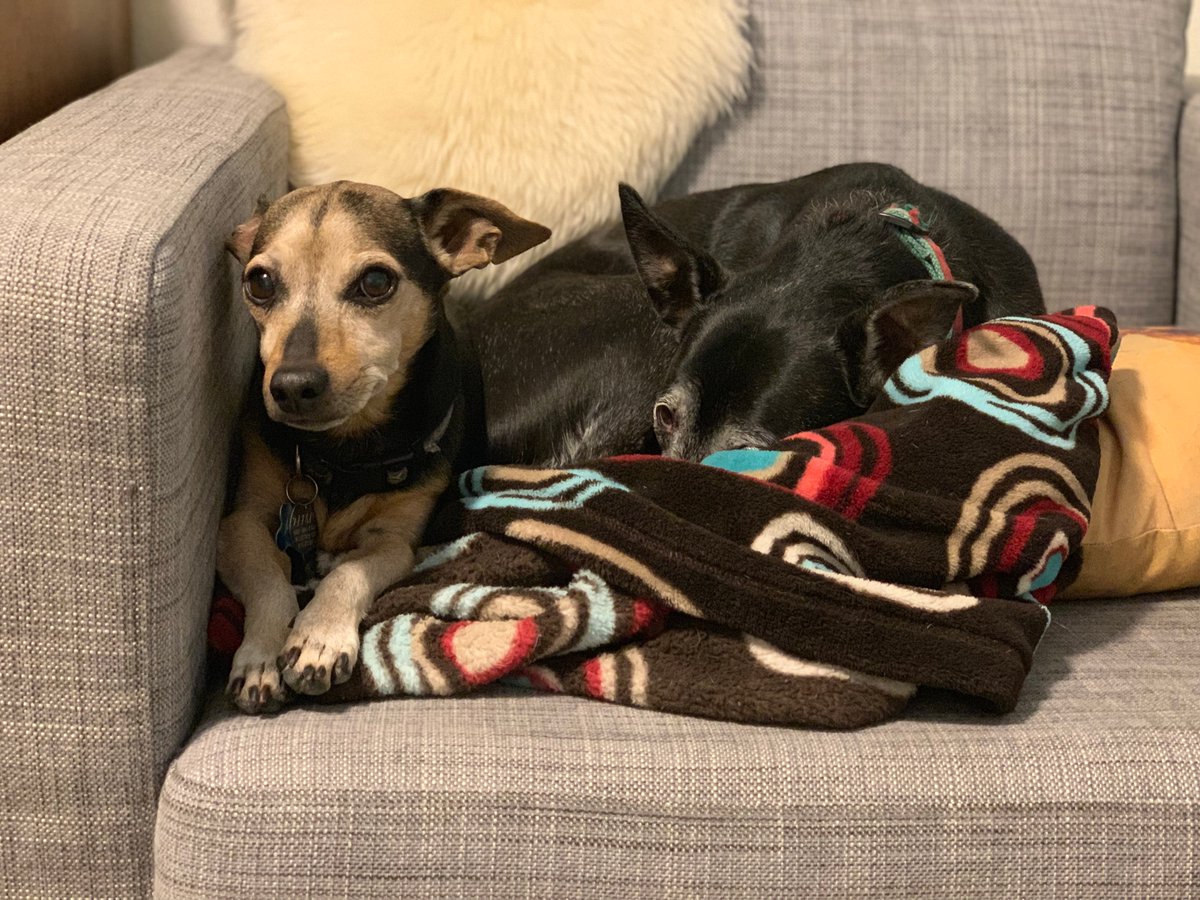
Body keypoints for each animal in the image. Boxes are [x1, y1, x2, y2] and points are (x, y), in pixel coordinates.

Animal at [219, 181, 549, 710]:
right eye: (261, 282)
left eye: (375, 282)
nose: (290, 386)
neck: (345, 450)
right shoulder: (240, 523)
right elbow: (270, 575)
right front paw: (262, 655)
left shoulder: (395, 540)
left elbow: (350, 572)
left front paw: (318, 637)